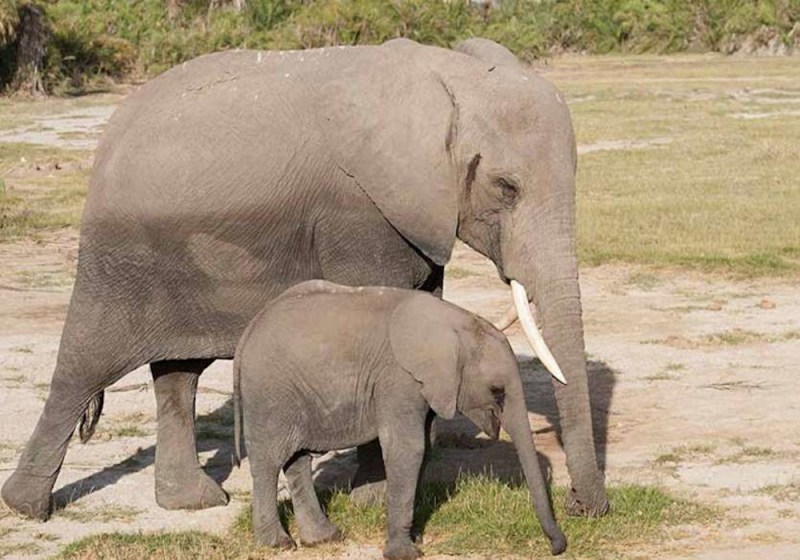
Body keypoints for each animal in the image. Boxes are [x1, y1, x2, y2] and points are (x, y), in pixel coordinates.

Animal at [1, 38, 608, 521]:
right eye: (506, 187)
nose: (585, 508)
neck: (444, 77)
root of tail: (108, 134)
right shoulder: (359, 210)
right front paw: (377, 499)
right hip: (120, 255)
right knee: (84, 367)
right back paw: (29, 508)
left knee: (178, 373)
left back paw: (192, 504)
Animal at [232, 280, 567, 558]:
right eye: (497, 391)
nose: (556, 547)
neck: (456, 325)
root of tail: (248, 332)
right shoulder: (398, 380)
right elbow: (409, 449)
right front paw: (407, 553)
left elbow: (424, 447)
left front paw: (415, 541)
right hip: (269, 393)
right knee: (269, 461)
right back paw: (278, 544)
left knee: (298, 459)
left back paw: (325, 538)